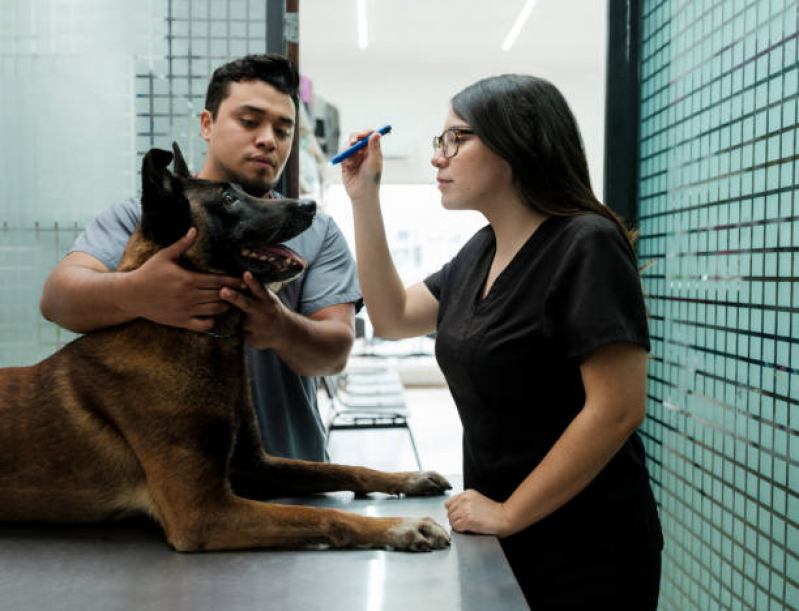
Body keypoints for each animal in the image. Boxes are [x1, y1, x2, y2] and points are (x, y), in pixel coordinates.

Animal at [0, 145, 450, 556]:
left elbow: (343, 467)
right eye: (229, 200)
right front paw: (400, 527)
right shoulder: (203, 511)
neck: (195, 334)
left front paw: (407, 478)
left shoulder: (254, 466)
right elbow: (322, 515)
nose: (309, 204)